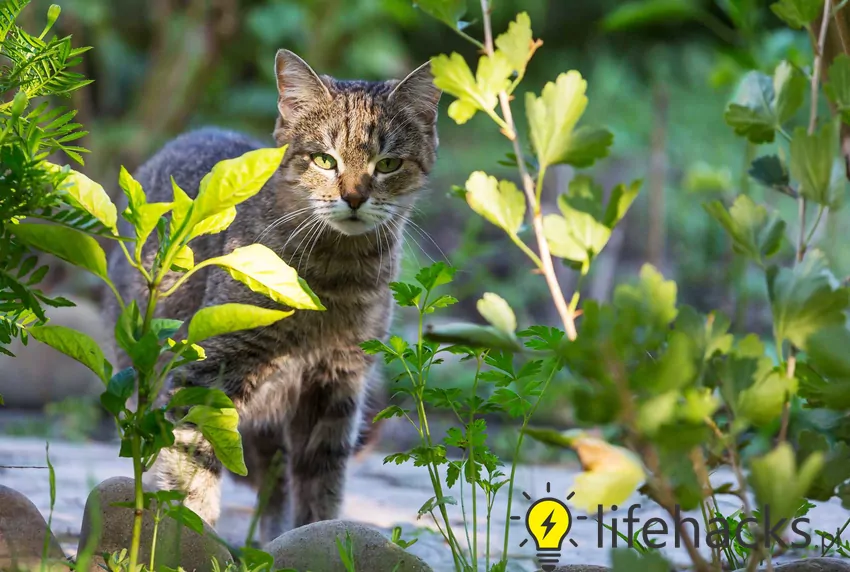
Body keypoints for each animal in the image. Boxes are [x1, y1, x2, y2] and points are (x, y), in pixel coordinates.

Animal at [104, 50, 438, 540]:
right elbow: (192, 464)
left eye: (389, 164)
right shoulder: (208, 372)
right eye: (324, 160)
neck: (333, 281)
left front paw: (313, 534)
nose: (355, 197)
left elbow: (320, 480)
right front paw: (190, 535)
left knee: (273, 478)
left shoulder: (337, 383)